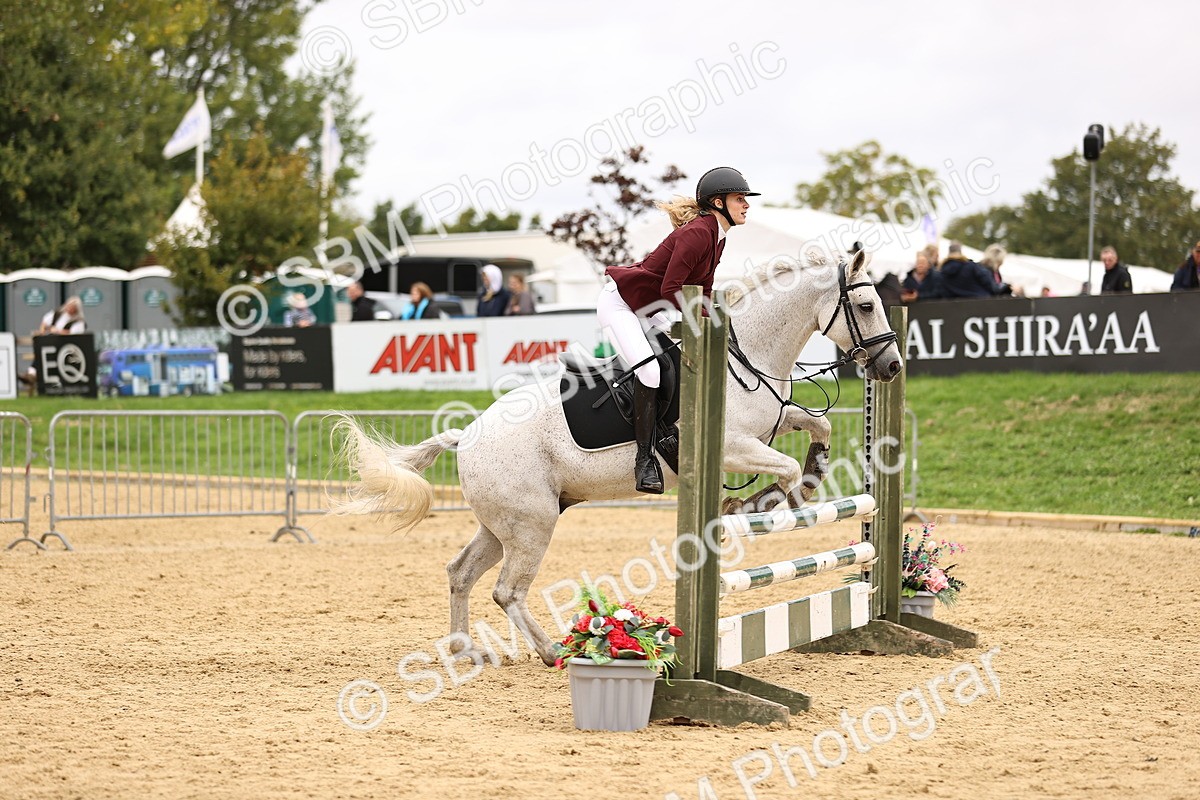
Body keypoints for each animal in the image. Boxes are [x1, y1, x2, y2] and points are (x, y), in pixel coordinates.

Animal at [330, 247, 902, 666]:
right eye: (866, 306)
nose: (893, 366)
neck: (746, 353)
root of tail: (466, 435)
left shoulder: (768, 425)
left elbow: (817, 425)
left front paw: (811, 472)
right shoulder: (735, 446)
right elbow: (782, 470)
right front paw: (764, 503)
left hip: (502, 524)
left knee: (461, 573)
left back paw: (465, 650)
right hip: (532, 523)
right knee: (507, 591)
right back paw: (551, 650)